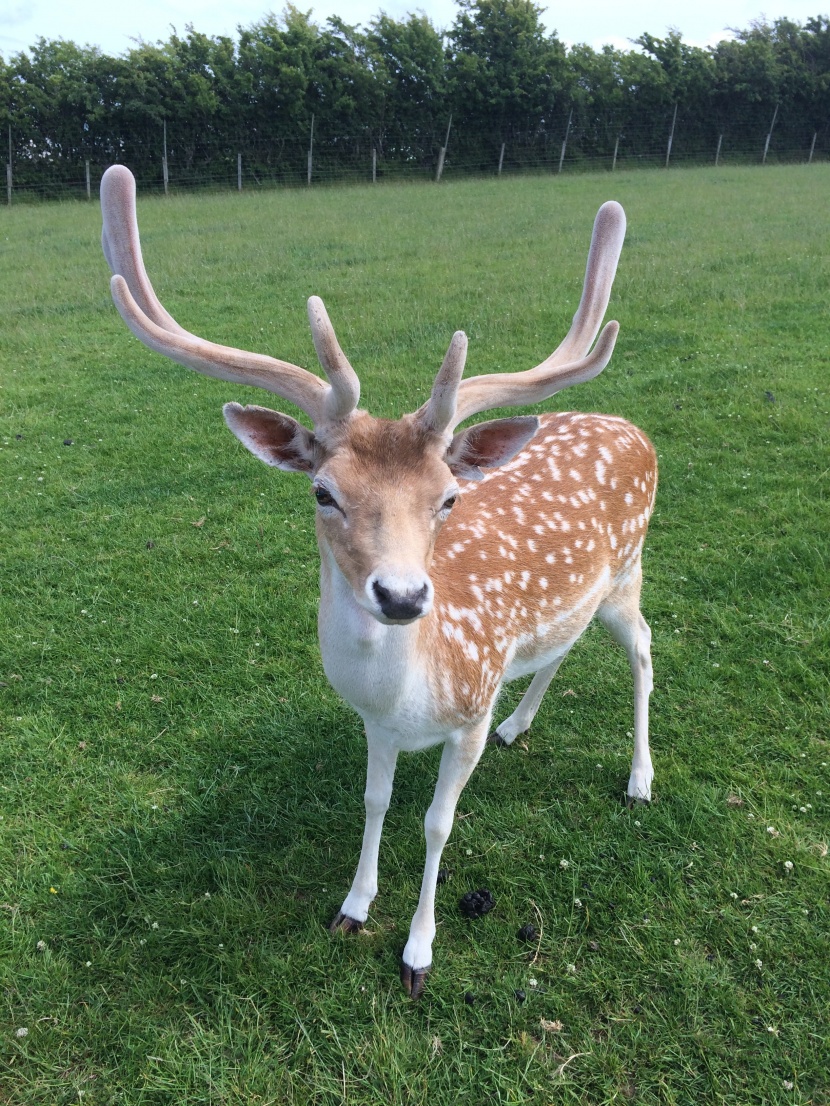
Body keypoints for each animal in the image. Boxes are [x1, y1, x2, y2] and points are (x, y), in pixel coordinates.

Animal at [100, 165, 659, 1004]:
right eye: (323, 492)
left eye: (448, 498)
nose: (401, 597)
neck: (410, 695)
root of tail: (636, 429)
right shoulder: (373, 722)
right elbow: (376, 799)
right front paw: (352, 908)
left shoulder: (466, 710)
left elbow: (435, 822)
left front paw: (418, 952)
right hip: (583, 597)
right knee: (564, 645)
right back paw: (520, 726)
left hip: (629, 570)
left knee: (643, 647)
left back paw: (639, 778)